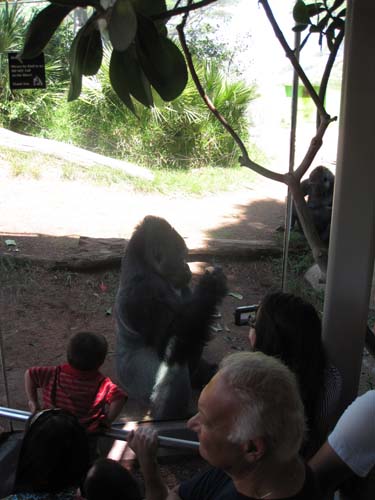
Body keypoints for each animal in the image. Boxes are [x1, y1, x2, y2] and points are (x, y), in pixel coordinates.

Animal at [114, 215, 228, 418]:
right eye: (181, 257)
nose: (187, 268)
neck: (145, 267)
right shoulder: (143, 292)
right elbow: (170, 336)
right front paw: (211, 287)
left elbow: (194, 324)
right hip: (133, 382)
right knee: (175, 361)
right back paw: (169, 414)